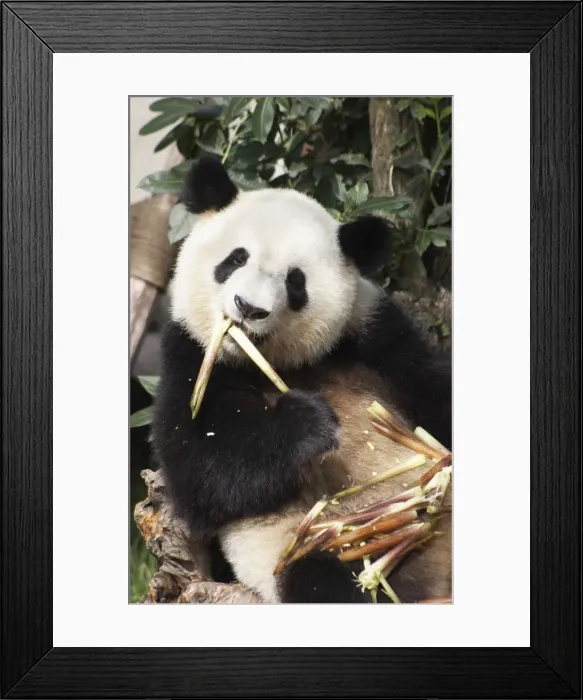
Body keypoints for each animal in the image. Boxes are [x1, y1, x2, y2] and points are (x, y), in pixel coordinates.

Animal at [152, 156, 452, 604]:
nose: (248, 308)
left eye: (295, 281)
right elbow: (200, 468)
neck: (278, 362)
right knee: (322, 580)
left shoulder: (371, 332)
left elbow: (429, 387)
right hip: (320, 547)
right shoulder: (192, 352)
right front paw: (309, 422)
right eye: (235, 259)